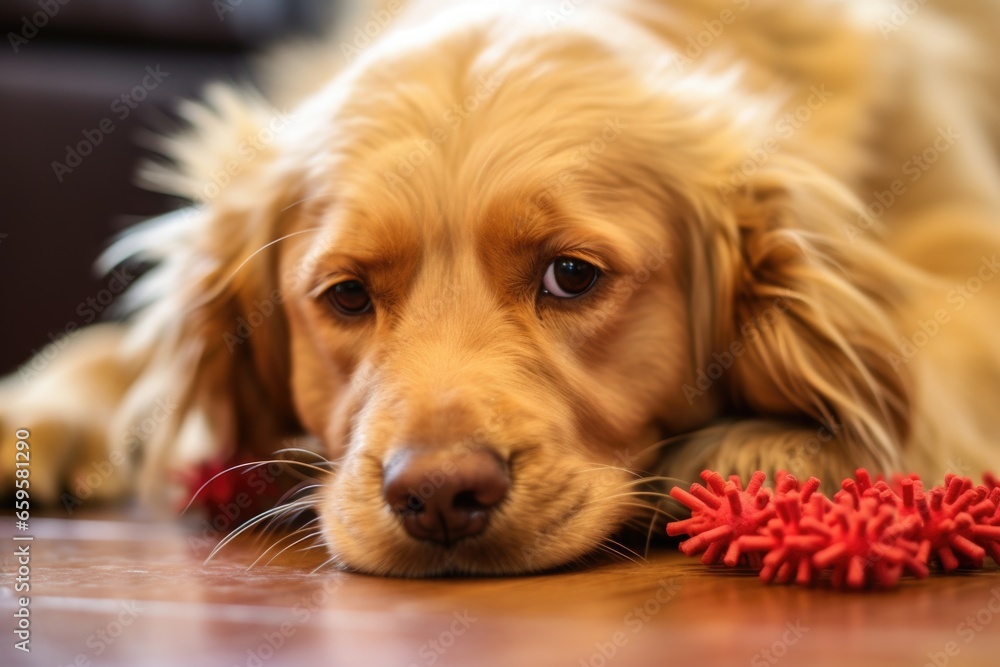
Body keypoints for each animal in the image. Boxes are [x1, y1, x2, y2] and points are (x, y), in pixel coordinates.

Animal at [1, 0, 1000, 576]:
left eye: (572, 276)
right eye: (347, 296)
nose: (440, 496)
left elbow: (931, 354)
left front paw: (773, 445)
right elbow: (122, 348)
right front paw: (43, 410)